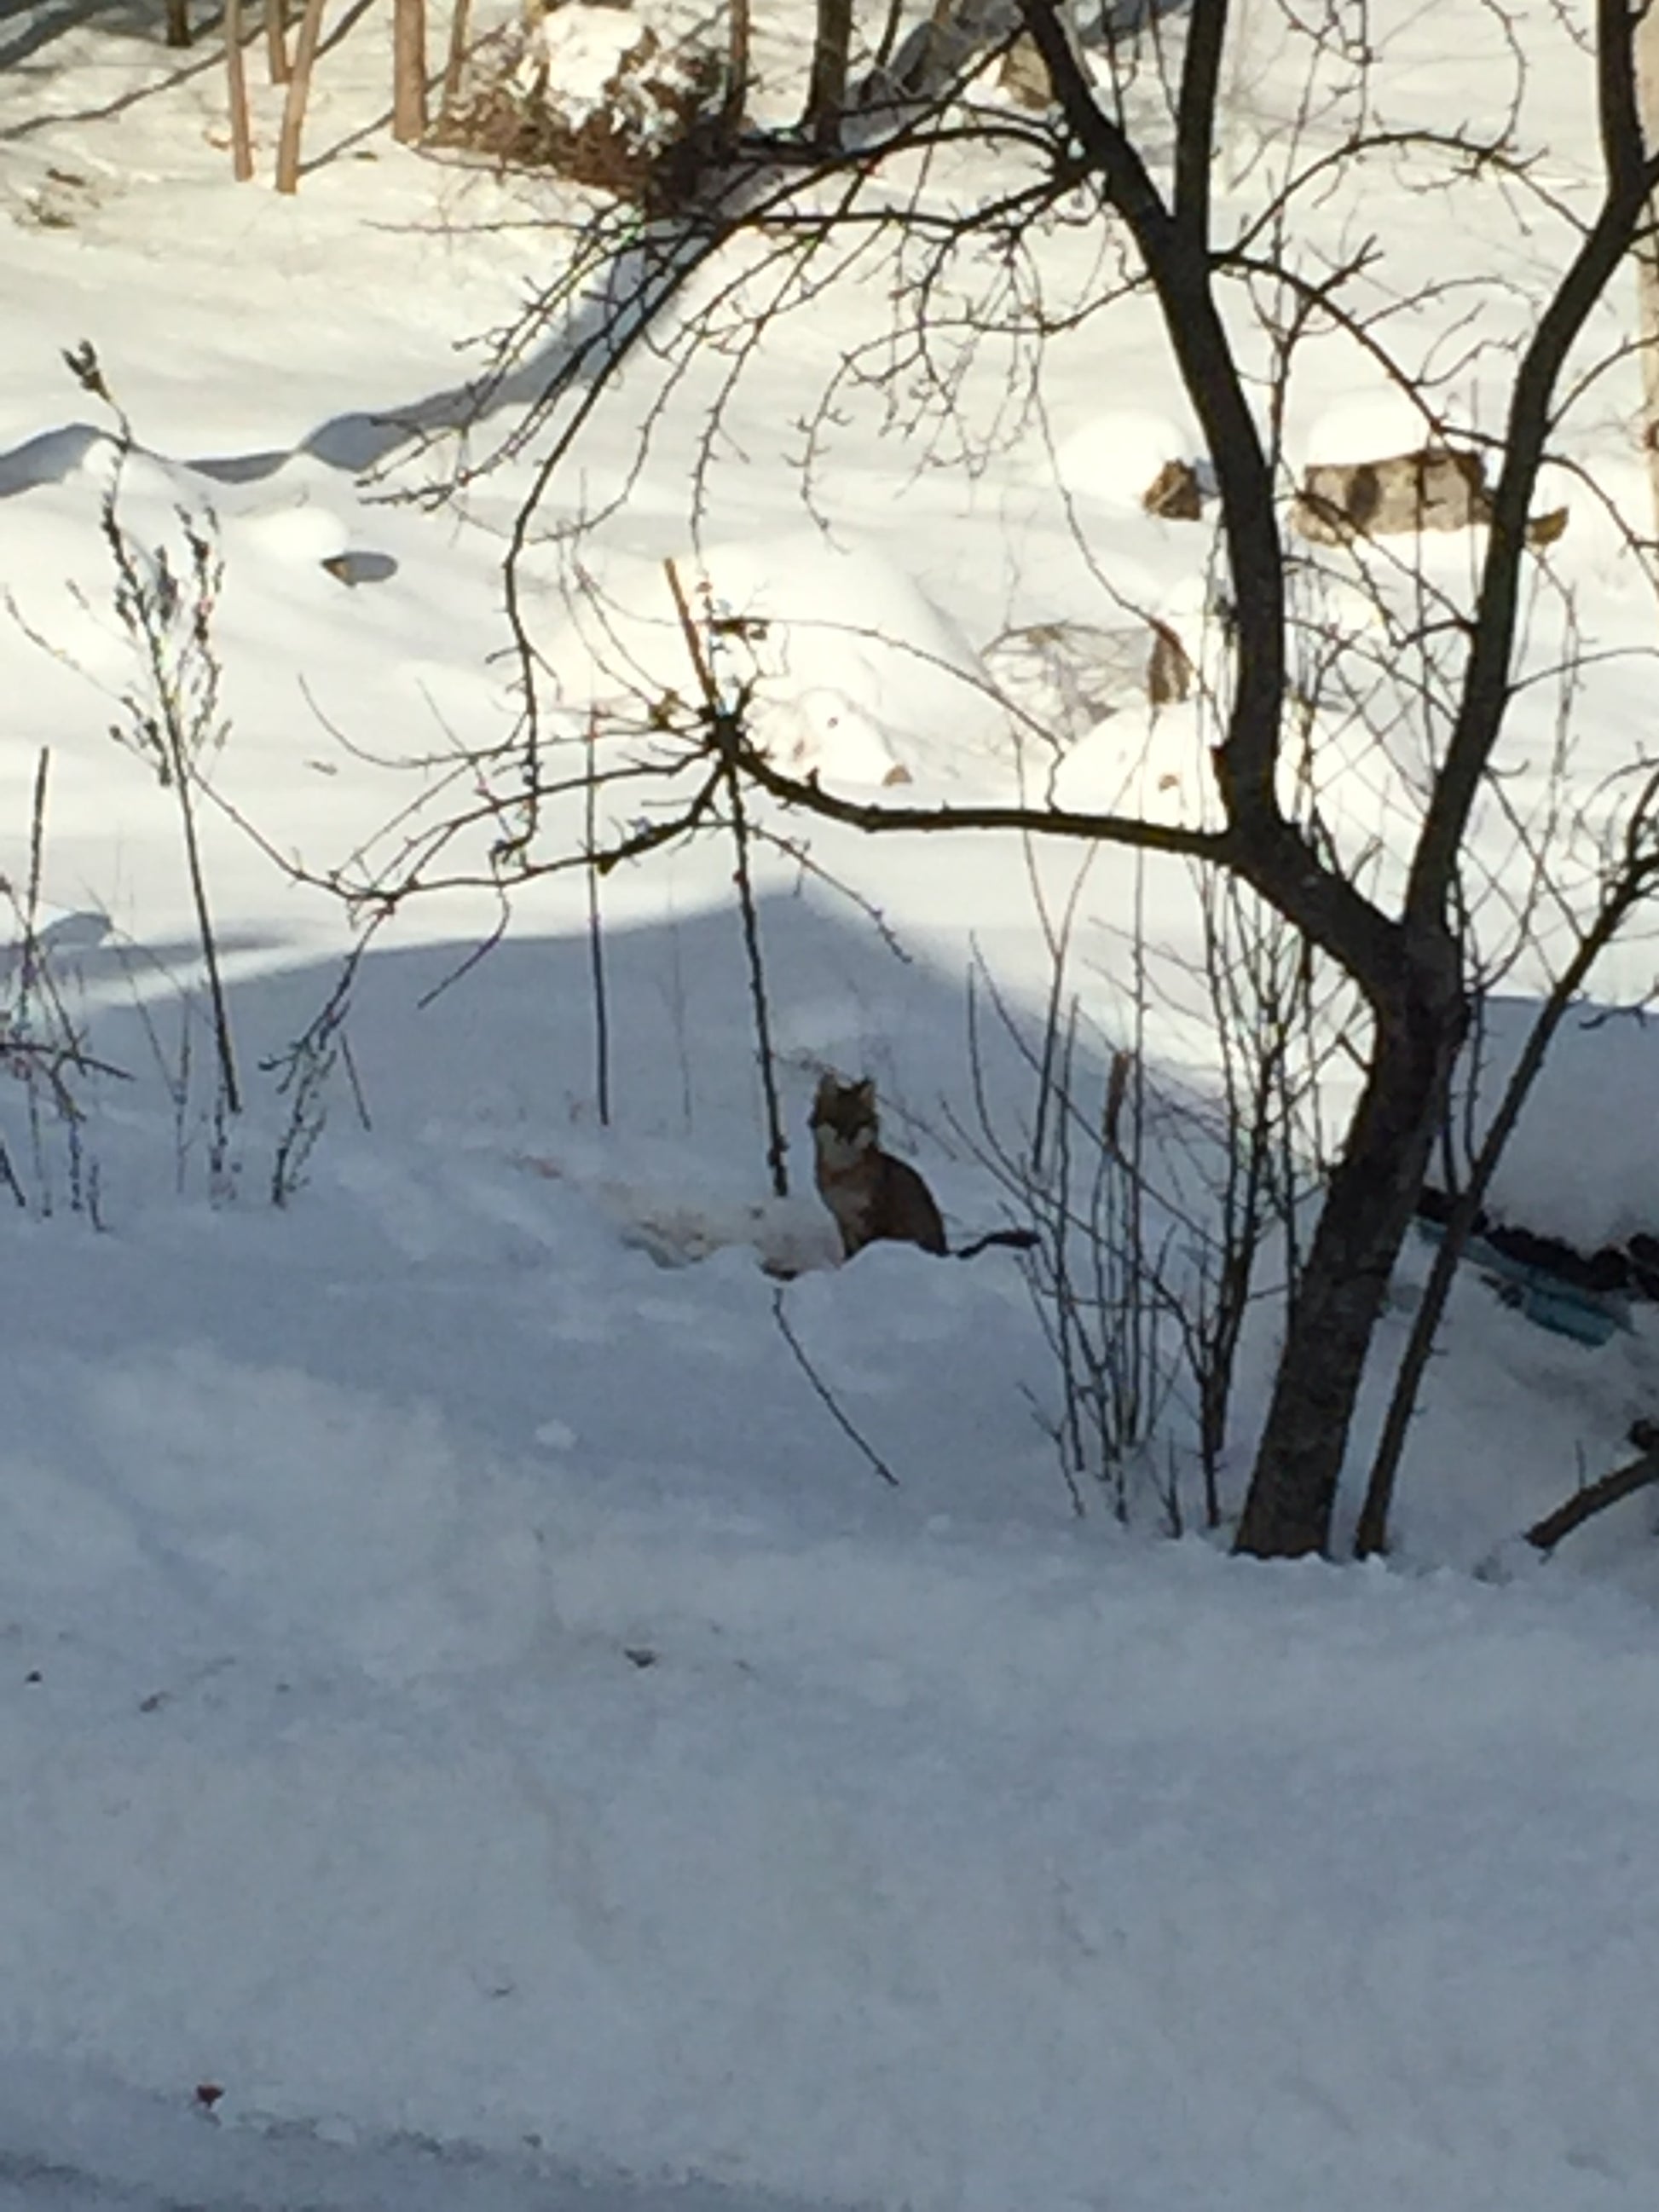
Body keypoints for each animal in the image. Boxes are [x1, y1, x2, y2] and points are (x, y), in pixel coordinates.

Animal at [810, 1073, 1037, 1263]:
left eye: (858, 1124)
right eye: (837, 1122)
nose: (847, 1140)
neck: (843, 1175)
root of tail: (945, 1251)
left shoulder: (874, 1218)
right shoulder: (843, 1219)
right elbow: (850, 1254)